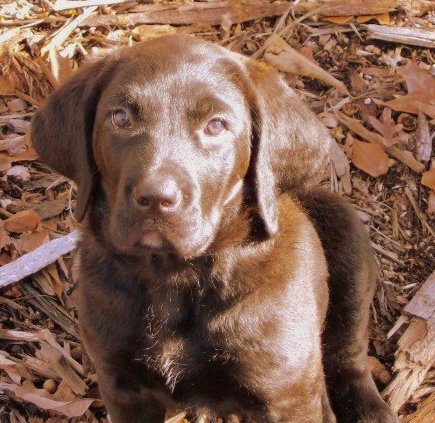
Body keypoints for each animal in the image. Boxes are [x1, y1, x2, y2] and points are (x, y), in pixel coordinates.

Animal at [31, 34, 398, 422]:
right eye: (120, 118)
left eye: (216, 125)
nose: (155, 198)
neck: (175, 277)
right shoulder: (121, 385)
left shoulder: (285, 396)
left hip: (346, 236)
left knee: (347, 352)